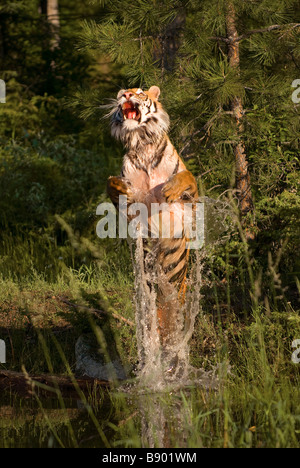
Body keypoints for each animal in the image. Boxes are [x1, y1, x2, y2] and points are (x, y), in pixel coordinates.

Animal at [106, 88, 198, 356]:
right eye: (121, 92)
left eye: (139, 92)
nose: (125, 94)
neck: (142, 143)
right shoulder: (127, 209)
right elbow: (111, 184)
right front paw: (118, 186)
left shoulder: (191, 199)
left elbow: (186, 177)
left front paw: (169, 189)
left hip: (175, 278)